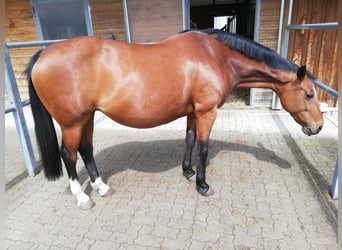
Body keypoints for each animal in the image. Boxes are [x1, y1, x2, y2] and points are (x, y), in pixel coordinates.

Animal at [25, 28, 322, 209]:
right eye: (309, 94)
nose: (317, 127)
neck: (216, 56)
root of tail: (44, 53)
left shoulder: (192, 111)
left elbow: (189, 141)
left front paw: (188, 172)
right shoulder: (206, 111)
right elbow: (203, 147)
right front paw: (202, 184)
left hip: (86, 118)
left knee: (86, 150)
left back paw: (101, 187)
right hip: (72, 122)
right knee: (69, 154)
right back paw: (82, 197)